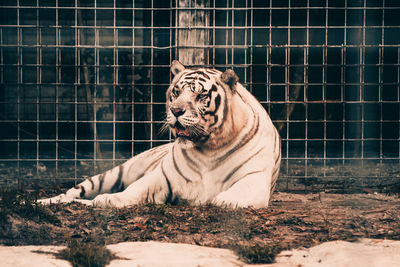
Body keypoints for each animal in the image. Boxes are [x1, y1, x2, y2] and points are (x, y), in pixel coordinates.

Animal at [38, 61, 282, 209]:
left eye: (200, 95)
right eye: (176, 91)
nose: (176, 111)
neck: (209, 148)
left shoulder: (255, 178)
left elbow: (232, 196)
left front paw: (219, 200)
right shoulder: (163, 177)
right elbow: (134, 190)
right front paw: (110, 199)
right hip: (113, 174)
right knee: (73, 192)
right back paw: (44, 201)